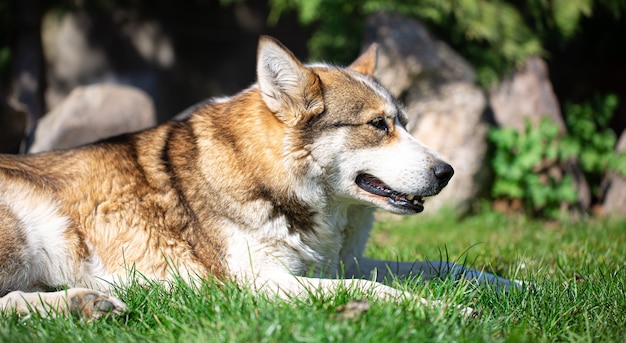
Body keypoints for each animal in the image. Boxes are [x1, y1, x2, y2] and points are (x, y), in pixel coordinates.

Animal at [0, 36, 512, 318]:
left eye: (403, 121)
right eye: (377, 125)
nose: (448, 172)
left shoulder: (335, 264)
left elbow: (444, 267)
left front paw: (520, 289)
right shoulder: (259, 284)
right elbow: (371, 289)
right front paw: (448, 310)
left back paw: (85, 305)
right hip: (29, 232)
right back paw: (81, 304)